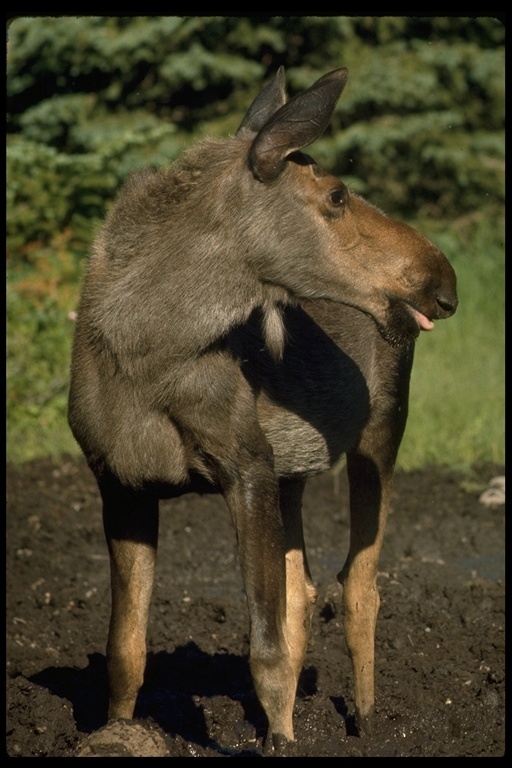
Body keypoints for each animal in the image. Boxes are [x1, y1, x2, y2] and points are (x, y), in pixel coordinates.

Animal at [68, 69, 456, 752]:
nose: (443, 280)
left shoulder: (244, 462)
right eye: (336, 195)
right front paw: (119, 730)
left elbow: (266, 653)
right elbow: (124, 651)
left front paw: (282, 738)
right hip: (293, 470)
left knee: (359, 586)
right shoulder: (120, 481)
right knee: (303, 590)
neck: (143, 356)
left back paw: (367, 721)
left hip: (382, 430)